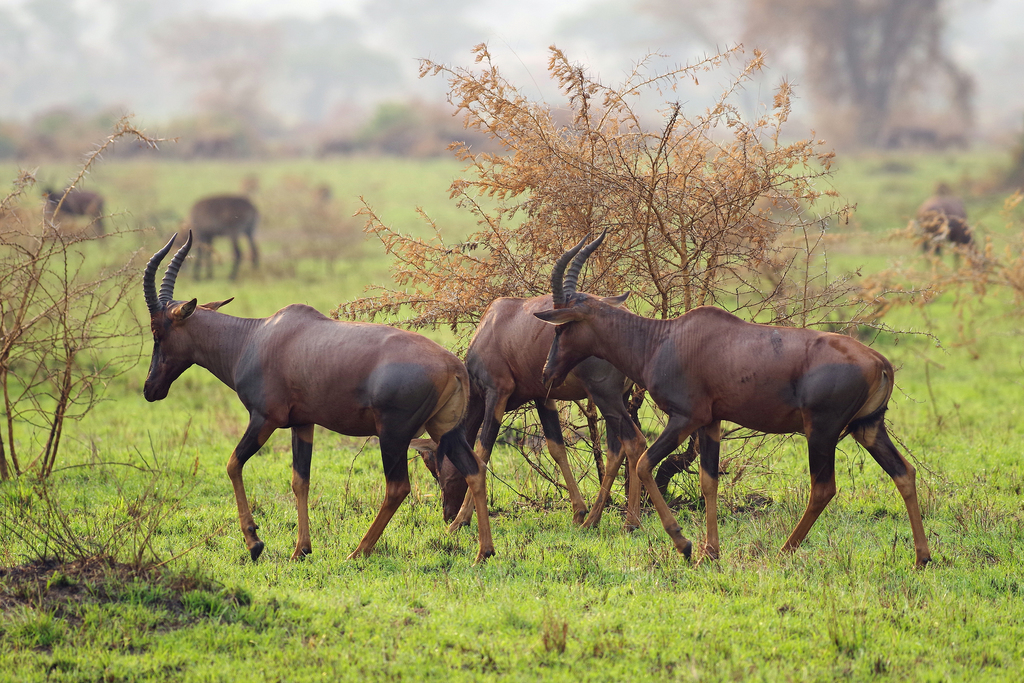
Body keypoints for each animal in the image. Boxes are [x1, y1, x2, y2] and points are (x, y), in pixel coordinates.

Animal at [145, 232, 495, 565]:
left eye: (157, 331)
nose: (150, 389)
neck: (254, 338)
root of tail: (454, 366)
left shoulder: (264, 419)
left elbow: (233, 464)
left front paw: (255, 543)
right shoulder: (303, 423)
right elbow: (300, 481)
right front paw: (300, 549)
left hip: (393, 434)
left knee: (398, 487)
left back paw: (358, 552)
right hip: (445, 430)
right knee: (474, 469)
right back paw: (484, 553)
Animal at [434, 290, 643, 532]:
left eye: (437, 471)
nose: (447, 514)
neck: (493, 322)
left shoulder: (497, 392)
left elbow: (482, 452)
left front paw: (459, 522)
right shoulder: (543, 396)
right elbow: (556, 448)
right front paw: (578, 511)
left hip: (606, 396)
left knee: (632, 443)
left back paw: (629, 523)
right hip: (620, 397)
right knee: (616, 451)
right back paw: (596, 519)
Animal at [532, 232, 933, 569]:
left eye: (562, 325)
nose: (547, 372)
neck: (663, 338)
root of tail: (880, 362)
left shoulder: (685, 418)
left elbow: (645, 464)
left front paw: (684, 545)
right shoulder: (711, 422)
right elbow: (709, 481)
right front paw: (709, 553)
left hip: (822, 430)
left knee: (823, 488)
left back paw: (784, 551)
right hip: (868, 427)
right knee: (904, 473)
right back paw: (922, 558)